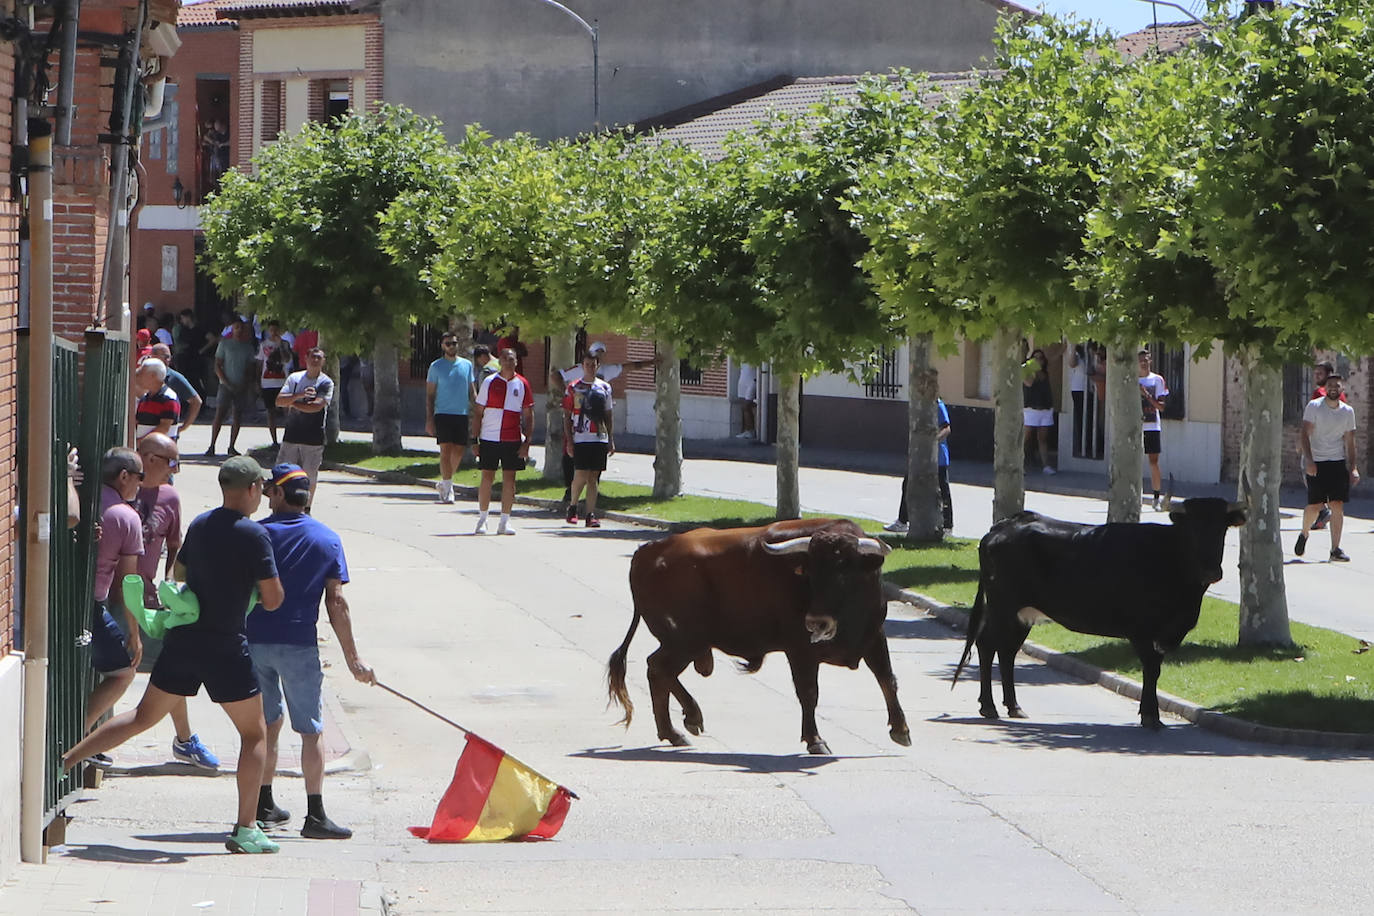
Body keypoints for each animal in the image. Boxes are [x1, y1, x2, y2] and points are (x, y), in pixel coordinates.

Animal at [604, 519, 906, 758]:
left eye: (844, 569)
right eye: (811, 572)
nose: (816, 621)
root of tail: (648, 551)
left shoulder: (874, 636)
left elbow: (887, 680)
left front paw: (901, 728)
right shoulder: (800, 649)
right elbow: (809, 693)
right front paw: (815, 739)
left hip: (686, 643)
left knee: (660, 671)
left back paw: (680, 726)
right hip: (685, 640)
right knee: (659, 669)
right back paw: (681, 723)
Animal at [956, 497, 1247, 725]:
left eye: (1222, 529)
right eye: (1192, 530)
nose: (1211, 571)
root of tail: (1005, 525)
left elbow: (1155, 669)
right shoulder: (1141, 629)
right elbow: (1152, 669)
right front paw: (1151, 716)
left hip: (1022, 614)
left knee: (1007, 653)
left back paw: (1014, 707)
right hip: (1003, 607)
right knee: (987, 646)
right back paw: (989, 706)